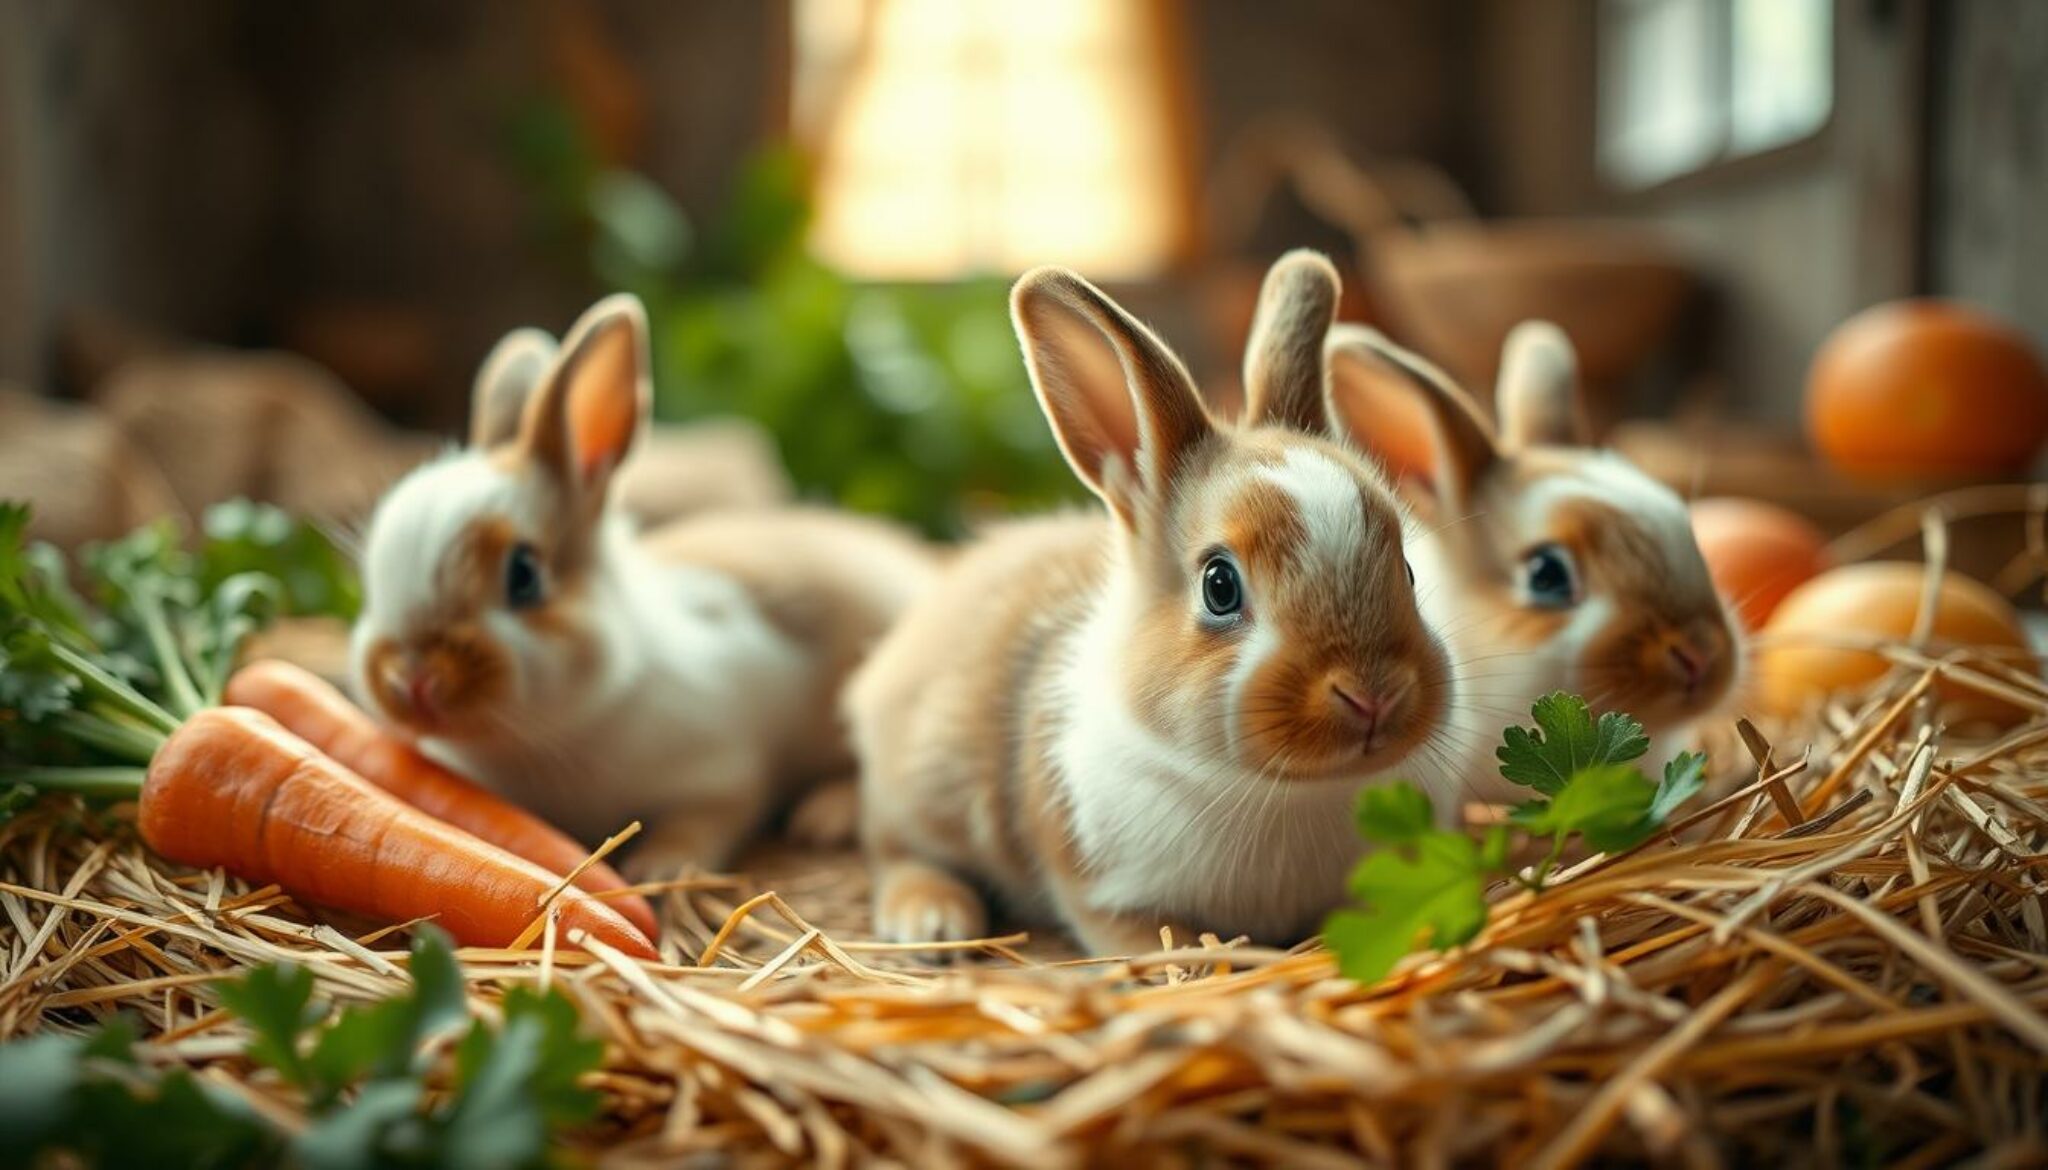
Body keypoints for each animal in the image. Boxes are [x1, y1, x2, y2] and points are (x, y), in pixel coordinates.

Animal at [349, 293, 936, 878]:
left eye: (524, 576)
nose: (412, 681)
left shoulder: (725, 771)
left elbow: (710, 816)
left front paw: (657, 867)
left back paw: (826, 815)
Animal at [847, 251, 1457, 956]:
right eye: (1219, 586)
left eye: (1407, 570)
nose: (1374, 694)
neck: (1283, 793)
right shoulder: (1099, 887)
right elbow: (1143, 935)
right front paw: (1196, 960)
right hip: (924, 788)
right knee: (890, 846)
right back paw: (933, 920)